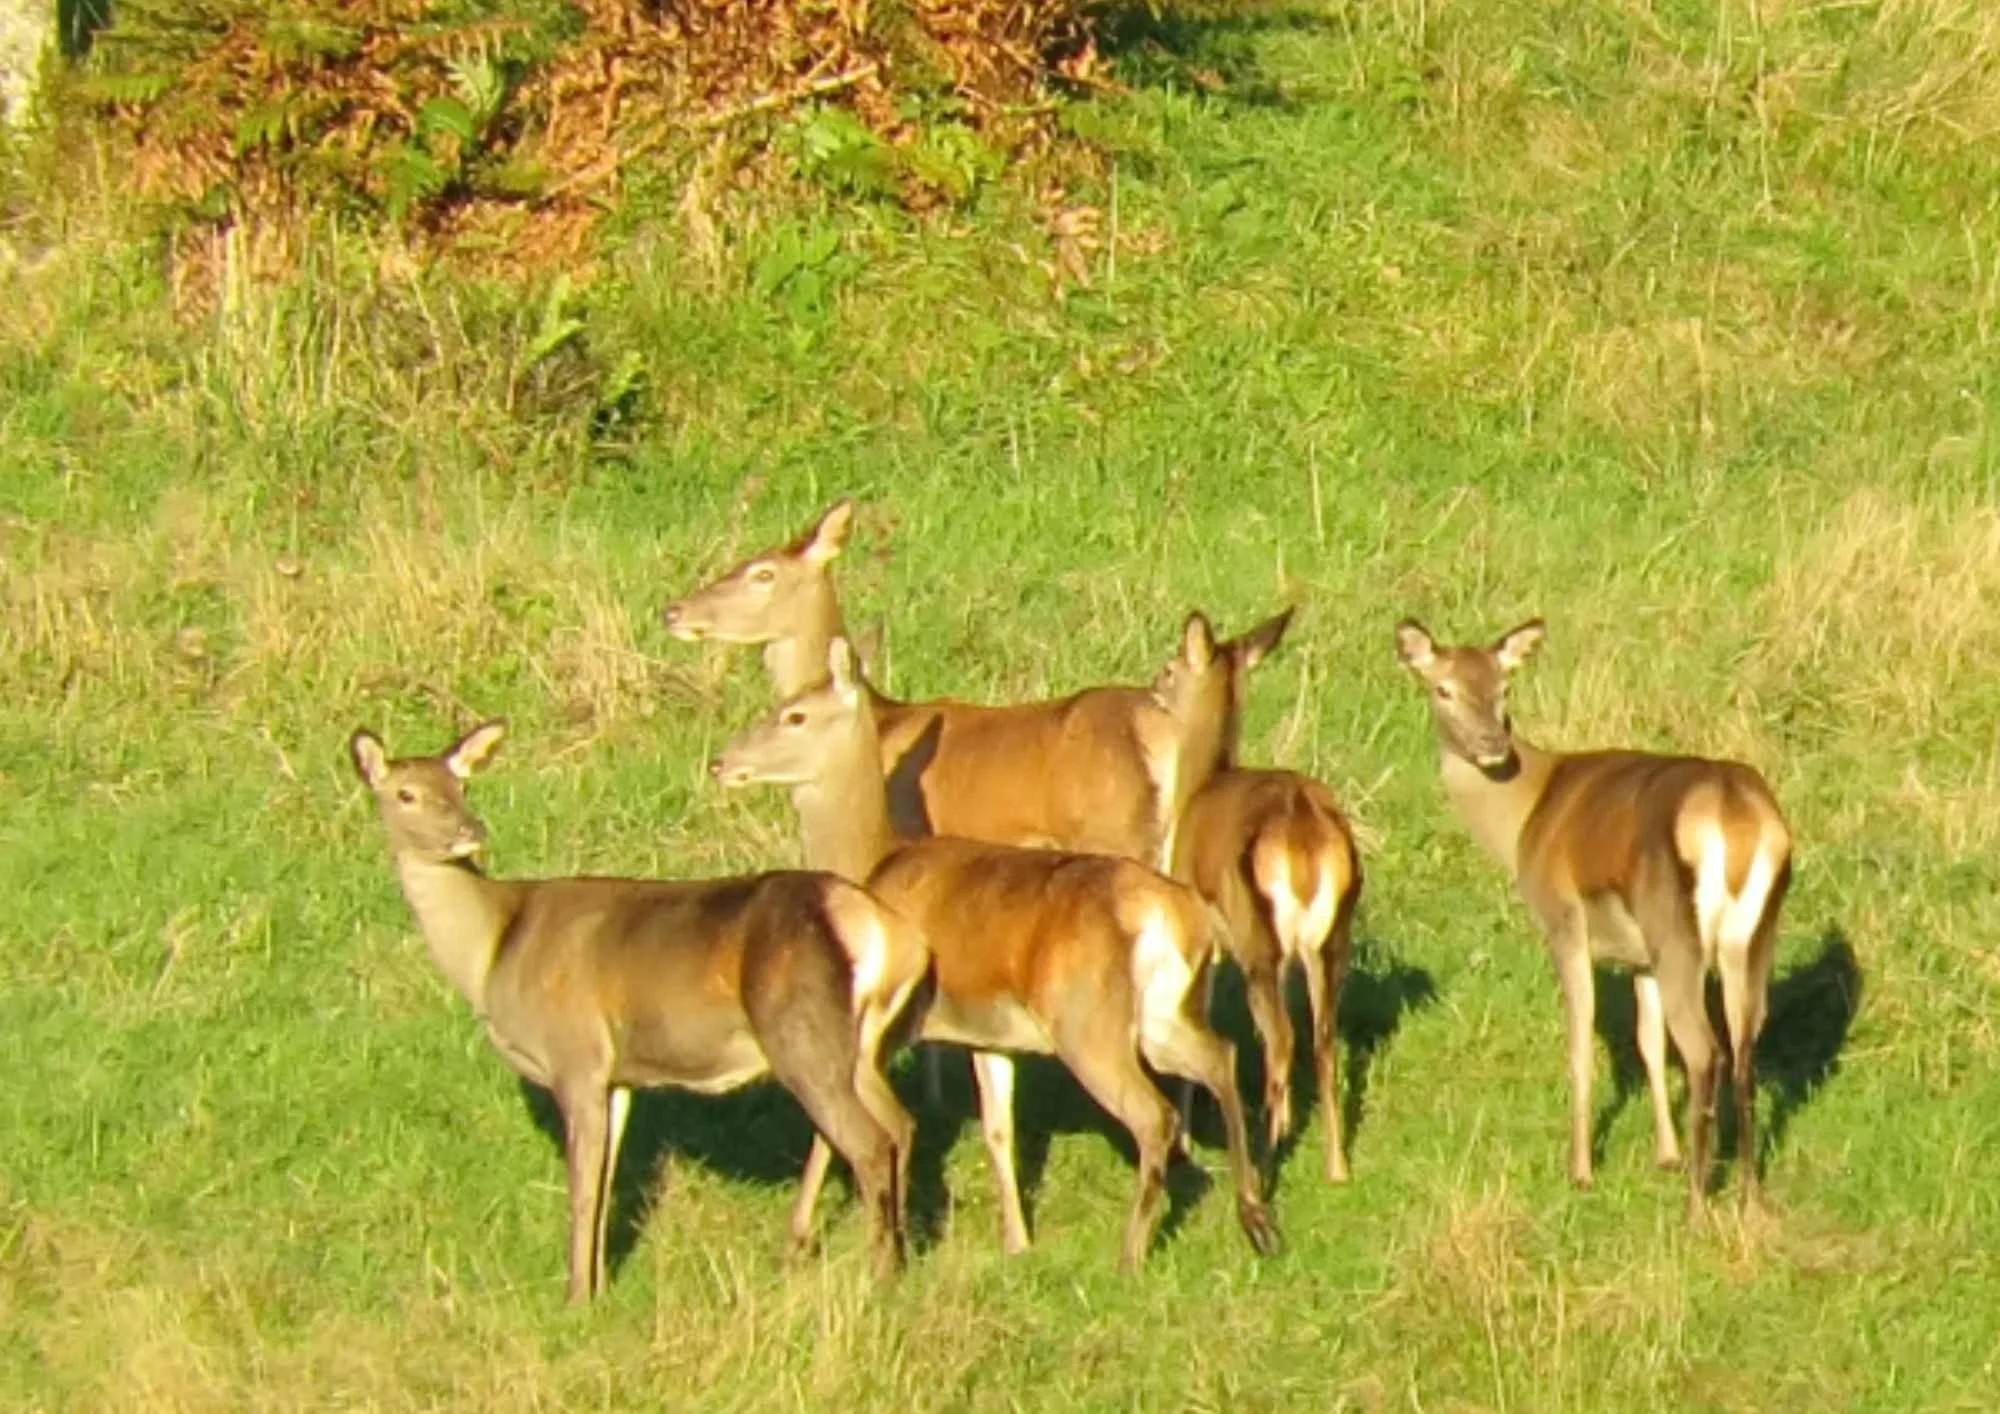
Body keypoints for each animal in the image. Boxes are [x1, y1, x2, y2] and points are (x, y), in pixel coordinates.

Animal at [348, 720, 931, 1303]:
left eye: (460, 785)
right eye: (407, 793)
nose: (469, 829)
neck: (492, 950)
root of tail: (884, 930)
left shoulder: (577, 1055)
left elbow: (583, 1189)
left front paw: (576, 1298)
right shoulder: (618, 1076)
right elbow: (607, 1183)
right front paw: (599, 1285)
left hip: (800, 1029)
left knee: (869, 1141)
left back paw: (878, 1277)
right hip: (862, 1046)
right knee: (900, 1124)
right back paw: (902, 1255)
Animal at [710, 639, 1282, 1271]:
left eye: (795, 716)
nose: (721, 762)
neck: (875, 861)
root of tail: (1174, 915)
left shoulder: (872, 1025)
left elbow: (831, 1129)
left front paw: (799, 1238)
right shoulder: (987, 1034)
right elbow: (997, 1128)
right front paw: (1015, 1240)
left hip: (1087, 1021)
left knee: (1152, 1113)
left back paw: (1131, 1254)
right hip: (1163, 1012)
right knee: (1221, 1058)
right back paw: (1255, 1215)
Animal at [1150, 609, 1363, 1184]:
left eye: (1170, 668)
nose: (1153, 690)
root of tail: (1304, 828)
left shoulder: (1205, 931)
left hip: (1257, 939)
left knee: (1285, 1038)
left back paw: (1268, 1159)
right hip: (1331, 938)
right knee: (1322, 1036)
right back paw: (1335, 1165)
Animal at [1392, 619, 1793, 1219]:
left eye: (1504, 688)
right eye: (1444, 688)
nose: (1491, 745)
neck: (1523, 819)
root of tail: (1737, 816)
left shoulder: (1563, 921)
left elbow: (1580, 1041)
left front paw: (1580, 1170)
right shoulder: (1639, 956)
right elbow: (1649, 1043)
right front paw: (1664, 1155)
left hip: (1677, 930)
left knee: (1705, 1051)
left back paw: (1696, 1205)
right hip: (1753, 935)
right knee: (1746, 1050)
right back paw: (1748, 1196)